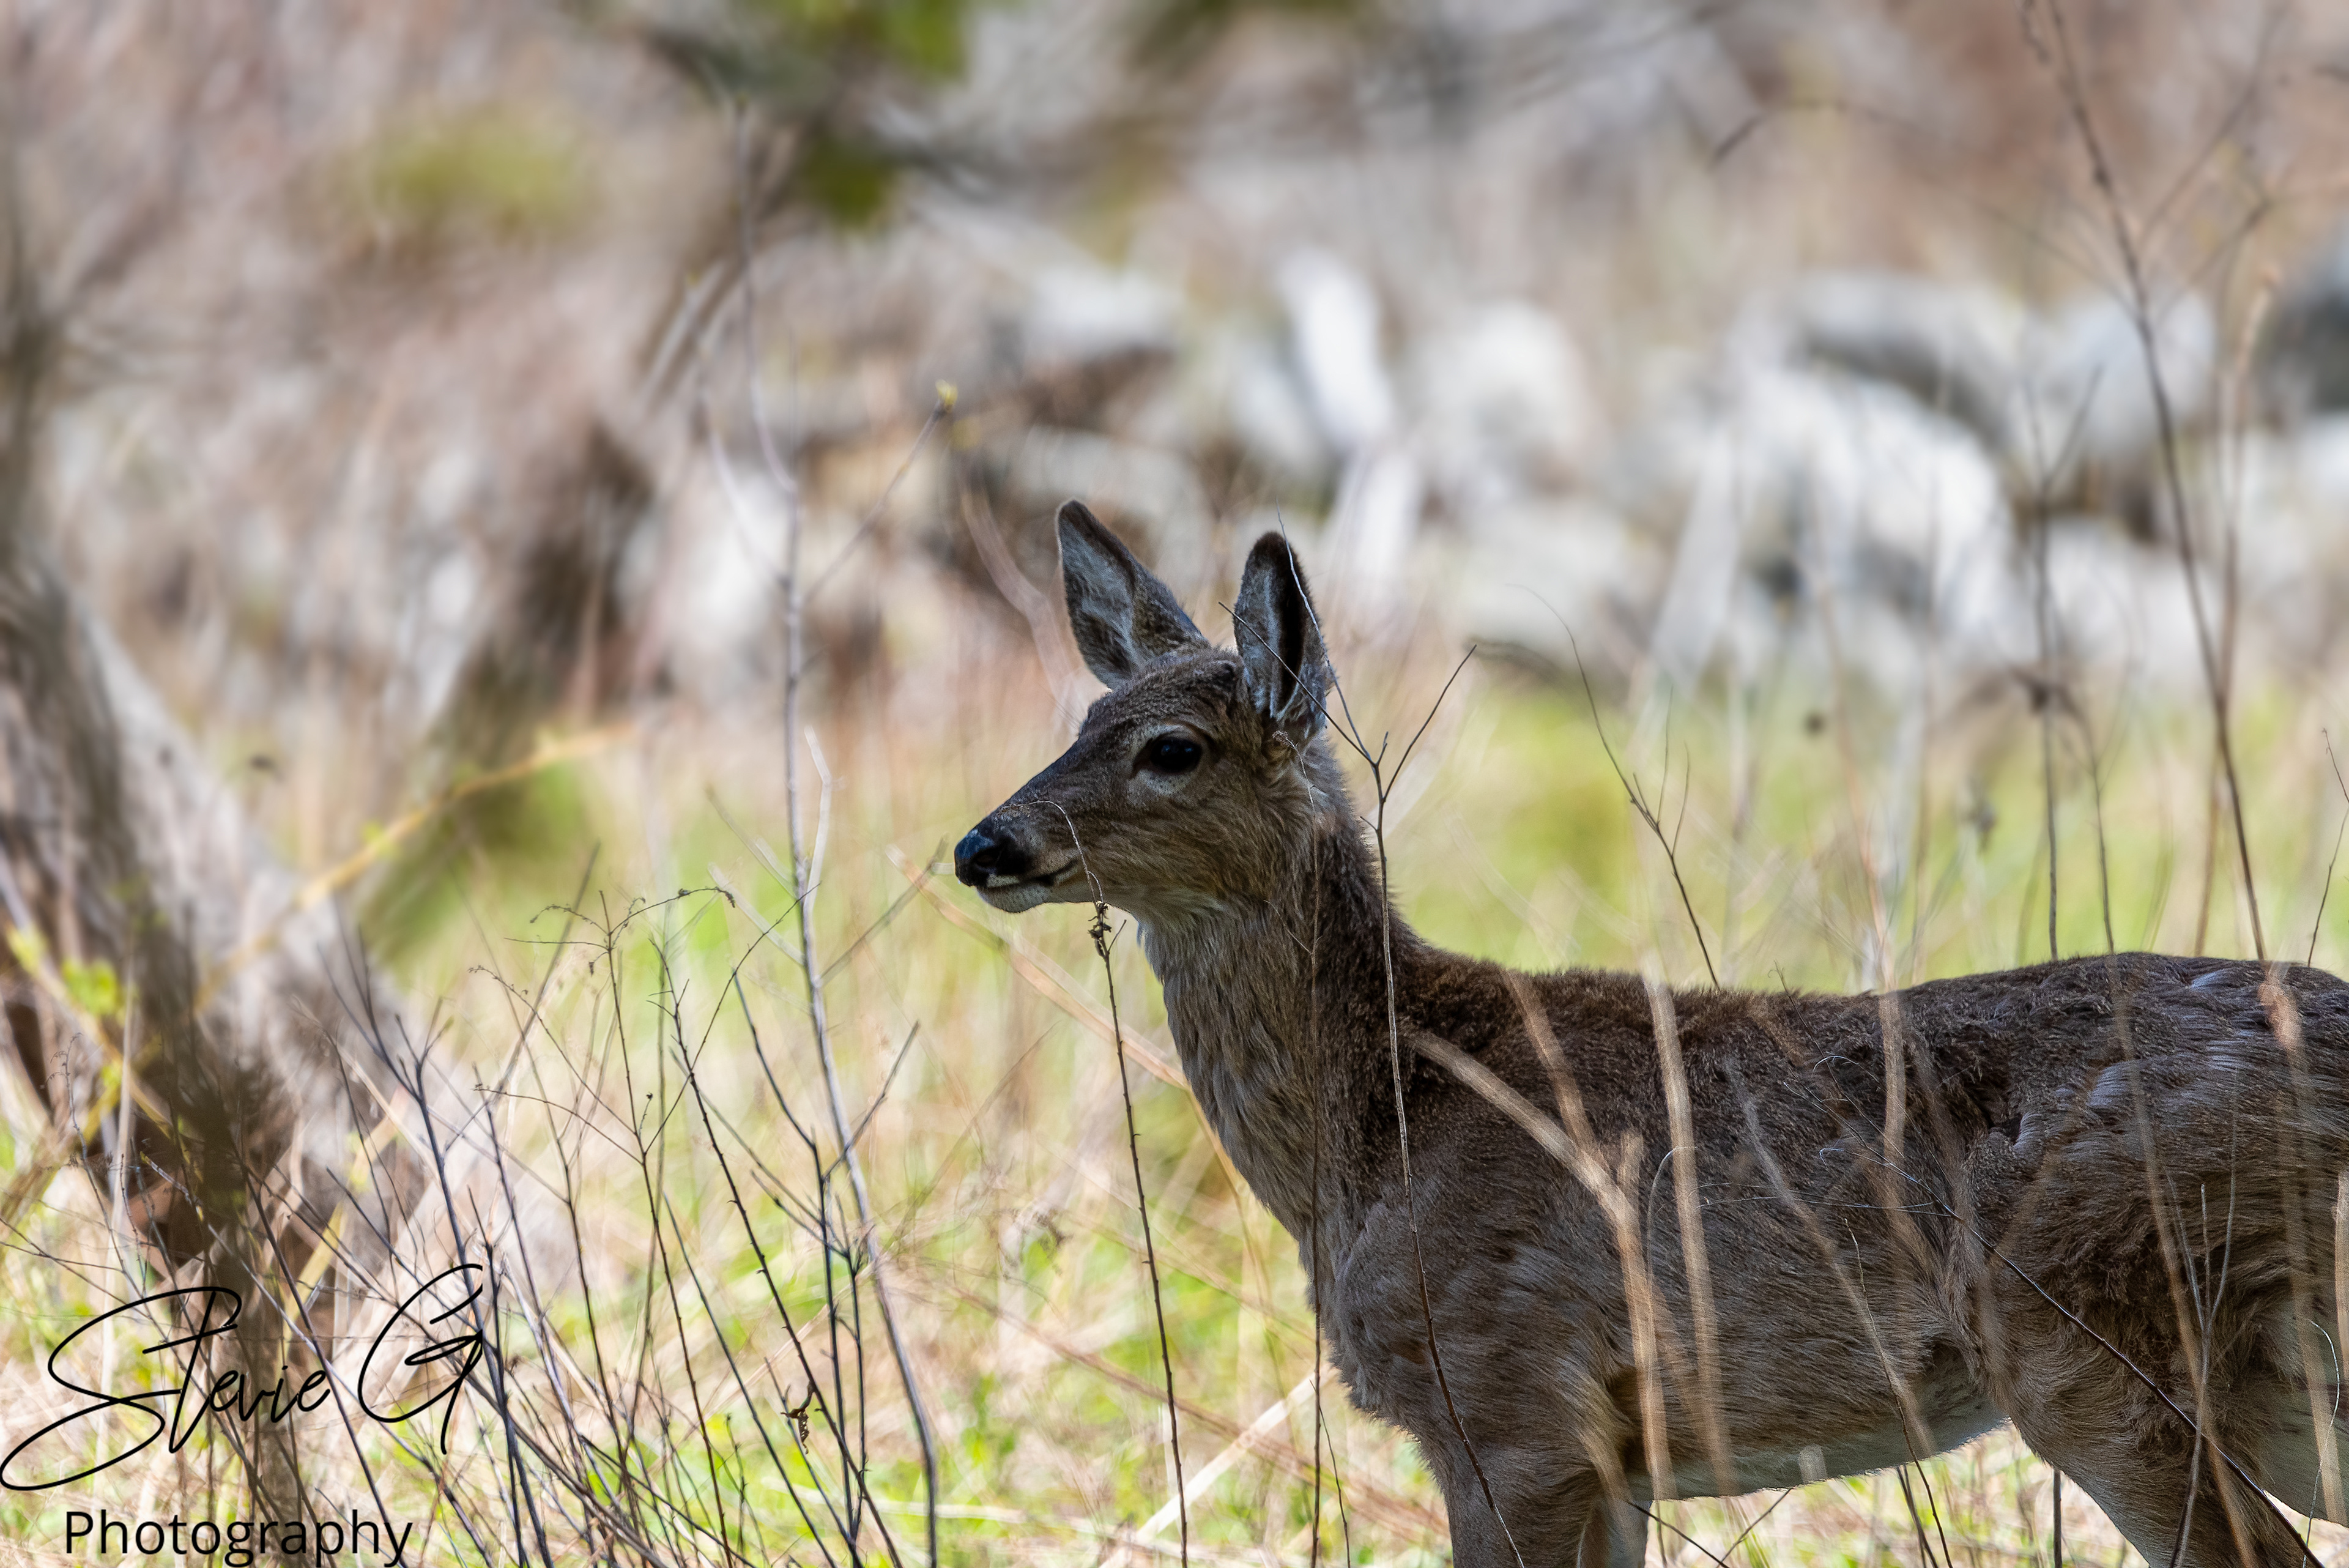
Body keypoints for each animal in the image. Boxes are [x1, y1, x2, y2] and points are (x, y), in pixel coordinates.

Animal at [956, 499, 2349, 1568]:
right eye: (1078, 727)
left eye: (1172, 748)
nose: (984, 845)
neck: (1383, 1118)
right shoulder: (1607, 1458)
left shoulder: (1514, 1406)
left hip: (2100, 1338)